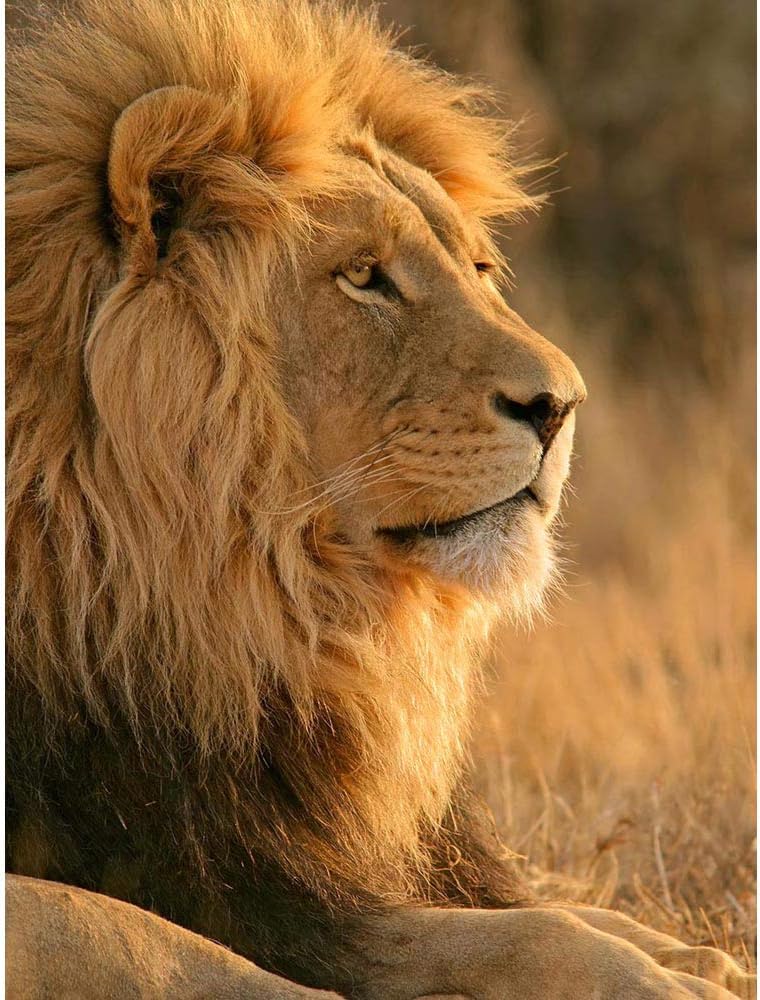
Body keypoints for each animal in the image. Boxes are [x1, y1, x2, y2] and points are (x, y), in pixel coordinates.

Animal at [6, 1, 754, 998]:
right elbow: (148, 935)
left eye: (479, 268)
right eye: (364, 276)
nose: (562, 405)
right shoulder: (225, 874)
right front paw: (661, 975)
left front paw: (688, 952)